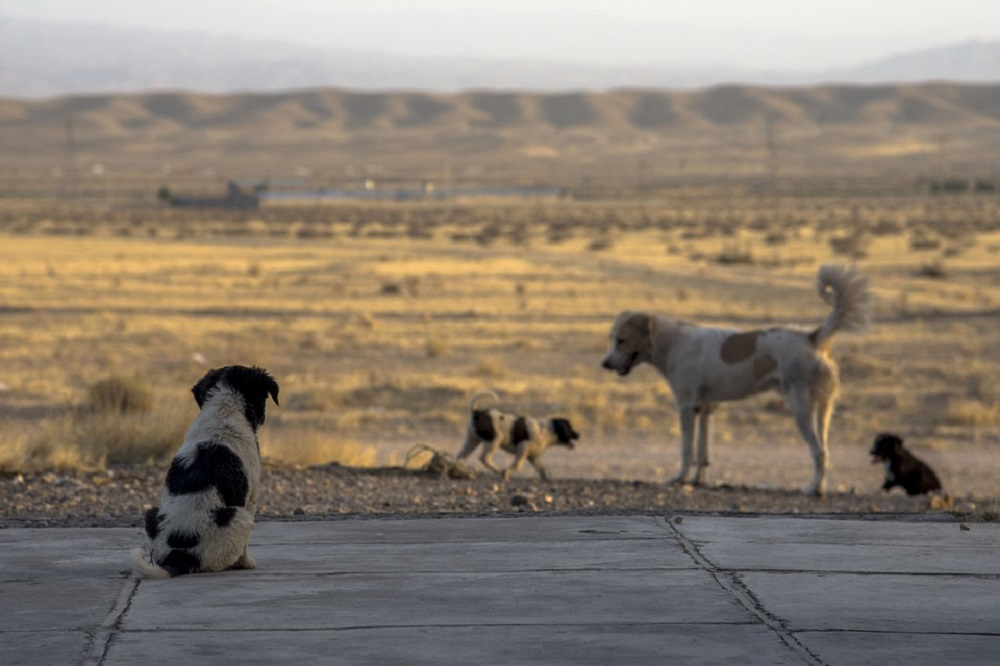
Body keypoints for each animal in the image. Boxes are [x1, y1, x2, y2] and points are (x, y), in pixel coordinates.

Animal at [131, 364, 278, 576]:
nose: (262, 419)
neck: (225, 409)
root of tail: (180, 557)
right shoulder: (251, 497)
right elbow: (245, 548)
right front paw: (247, 563)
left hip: (151, 515)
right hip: (239, 518)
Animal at [600, 264, 876, 492]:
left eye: (621, 340)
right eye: (612, 338)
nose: (605, 364)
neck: (673, 343)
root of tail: (813, 337)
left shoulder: (686, 407)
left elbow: (686, 448)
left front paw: (678, 479)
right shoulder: (705, 408)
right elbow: (702, 451)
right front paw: (696, 481)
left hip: (801, 408)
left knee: (818, 452)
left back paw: (812, 490)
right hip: (823, 410)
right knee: (826, 451)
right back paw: (820, 487)